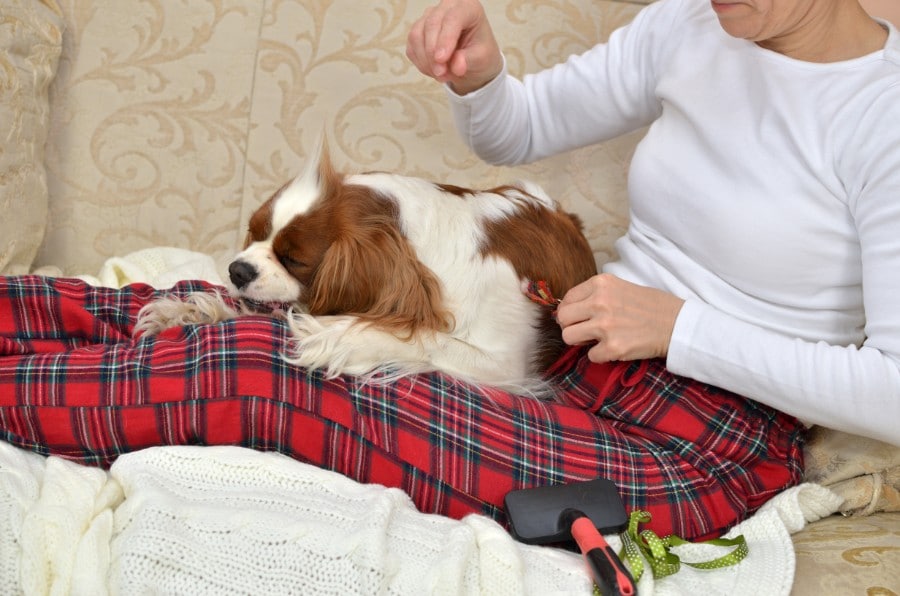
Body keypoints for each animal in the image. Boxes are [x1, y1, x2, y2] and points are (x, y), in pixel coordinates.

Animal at [135, 140, 596, 396]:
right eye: (255, 234)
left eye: (294, 259)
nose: (237, 270)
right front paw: (190, 310)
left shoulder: (504, 362)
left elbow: (424, 339)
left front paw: (333, 337)